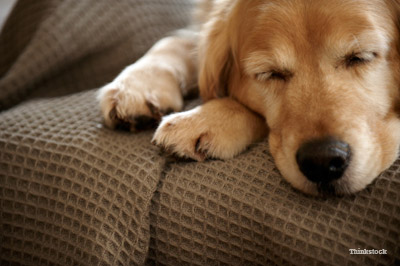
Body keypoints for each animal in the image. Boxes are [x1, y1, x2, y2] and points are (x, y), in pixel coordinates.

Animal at [97, 0, 400, 195]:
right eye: (269, 73)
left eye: (361, 57)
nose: (322, 162)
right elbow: (175, 41)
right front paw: (137, 85)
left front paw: (205, 119)